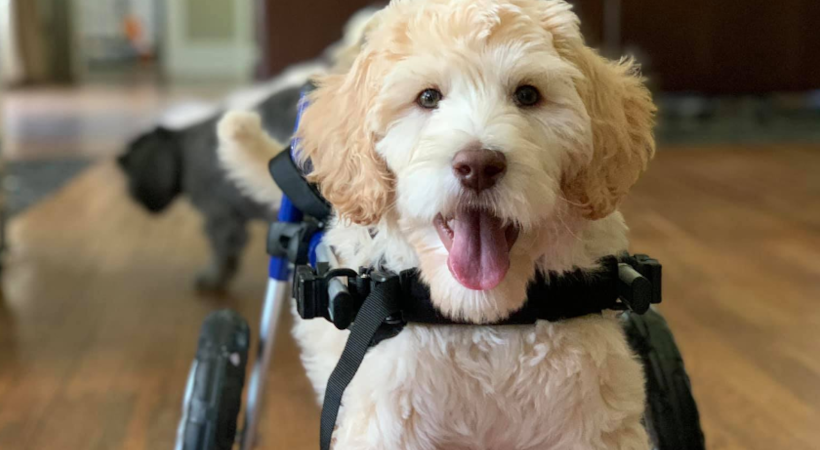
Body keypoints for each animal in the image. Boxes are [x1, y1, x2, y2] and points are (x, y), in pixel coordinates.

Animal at [218, 1, 652, 448]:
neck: (479, 318)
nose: (478, 166)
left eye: (528, 95)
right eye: (428, 97)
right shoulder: (381, 422)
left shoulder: (594, 422)